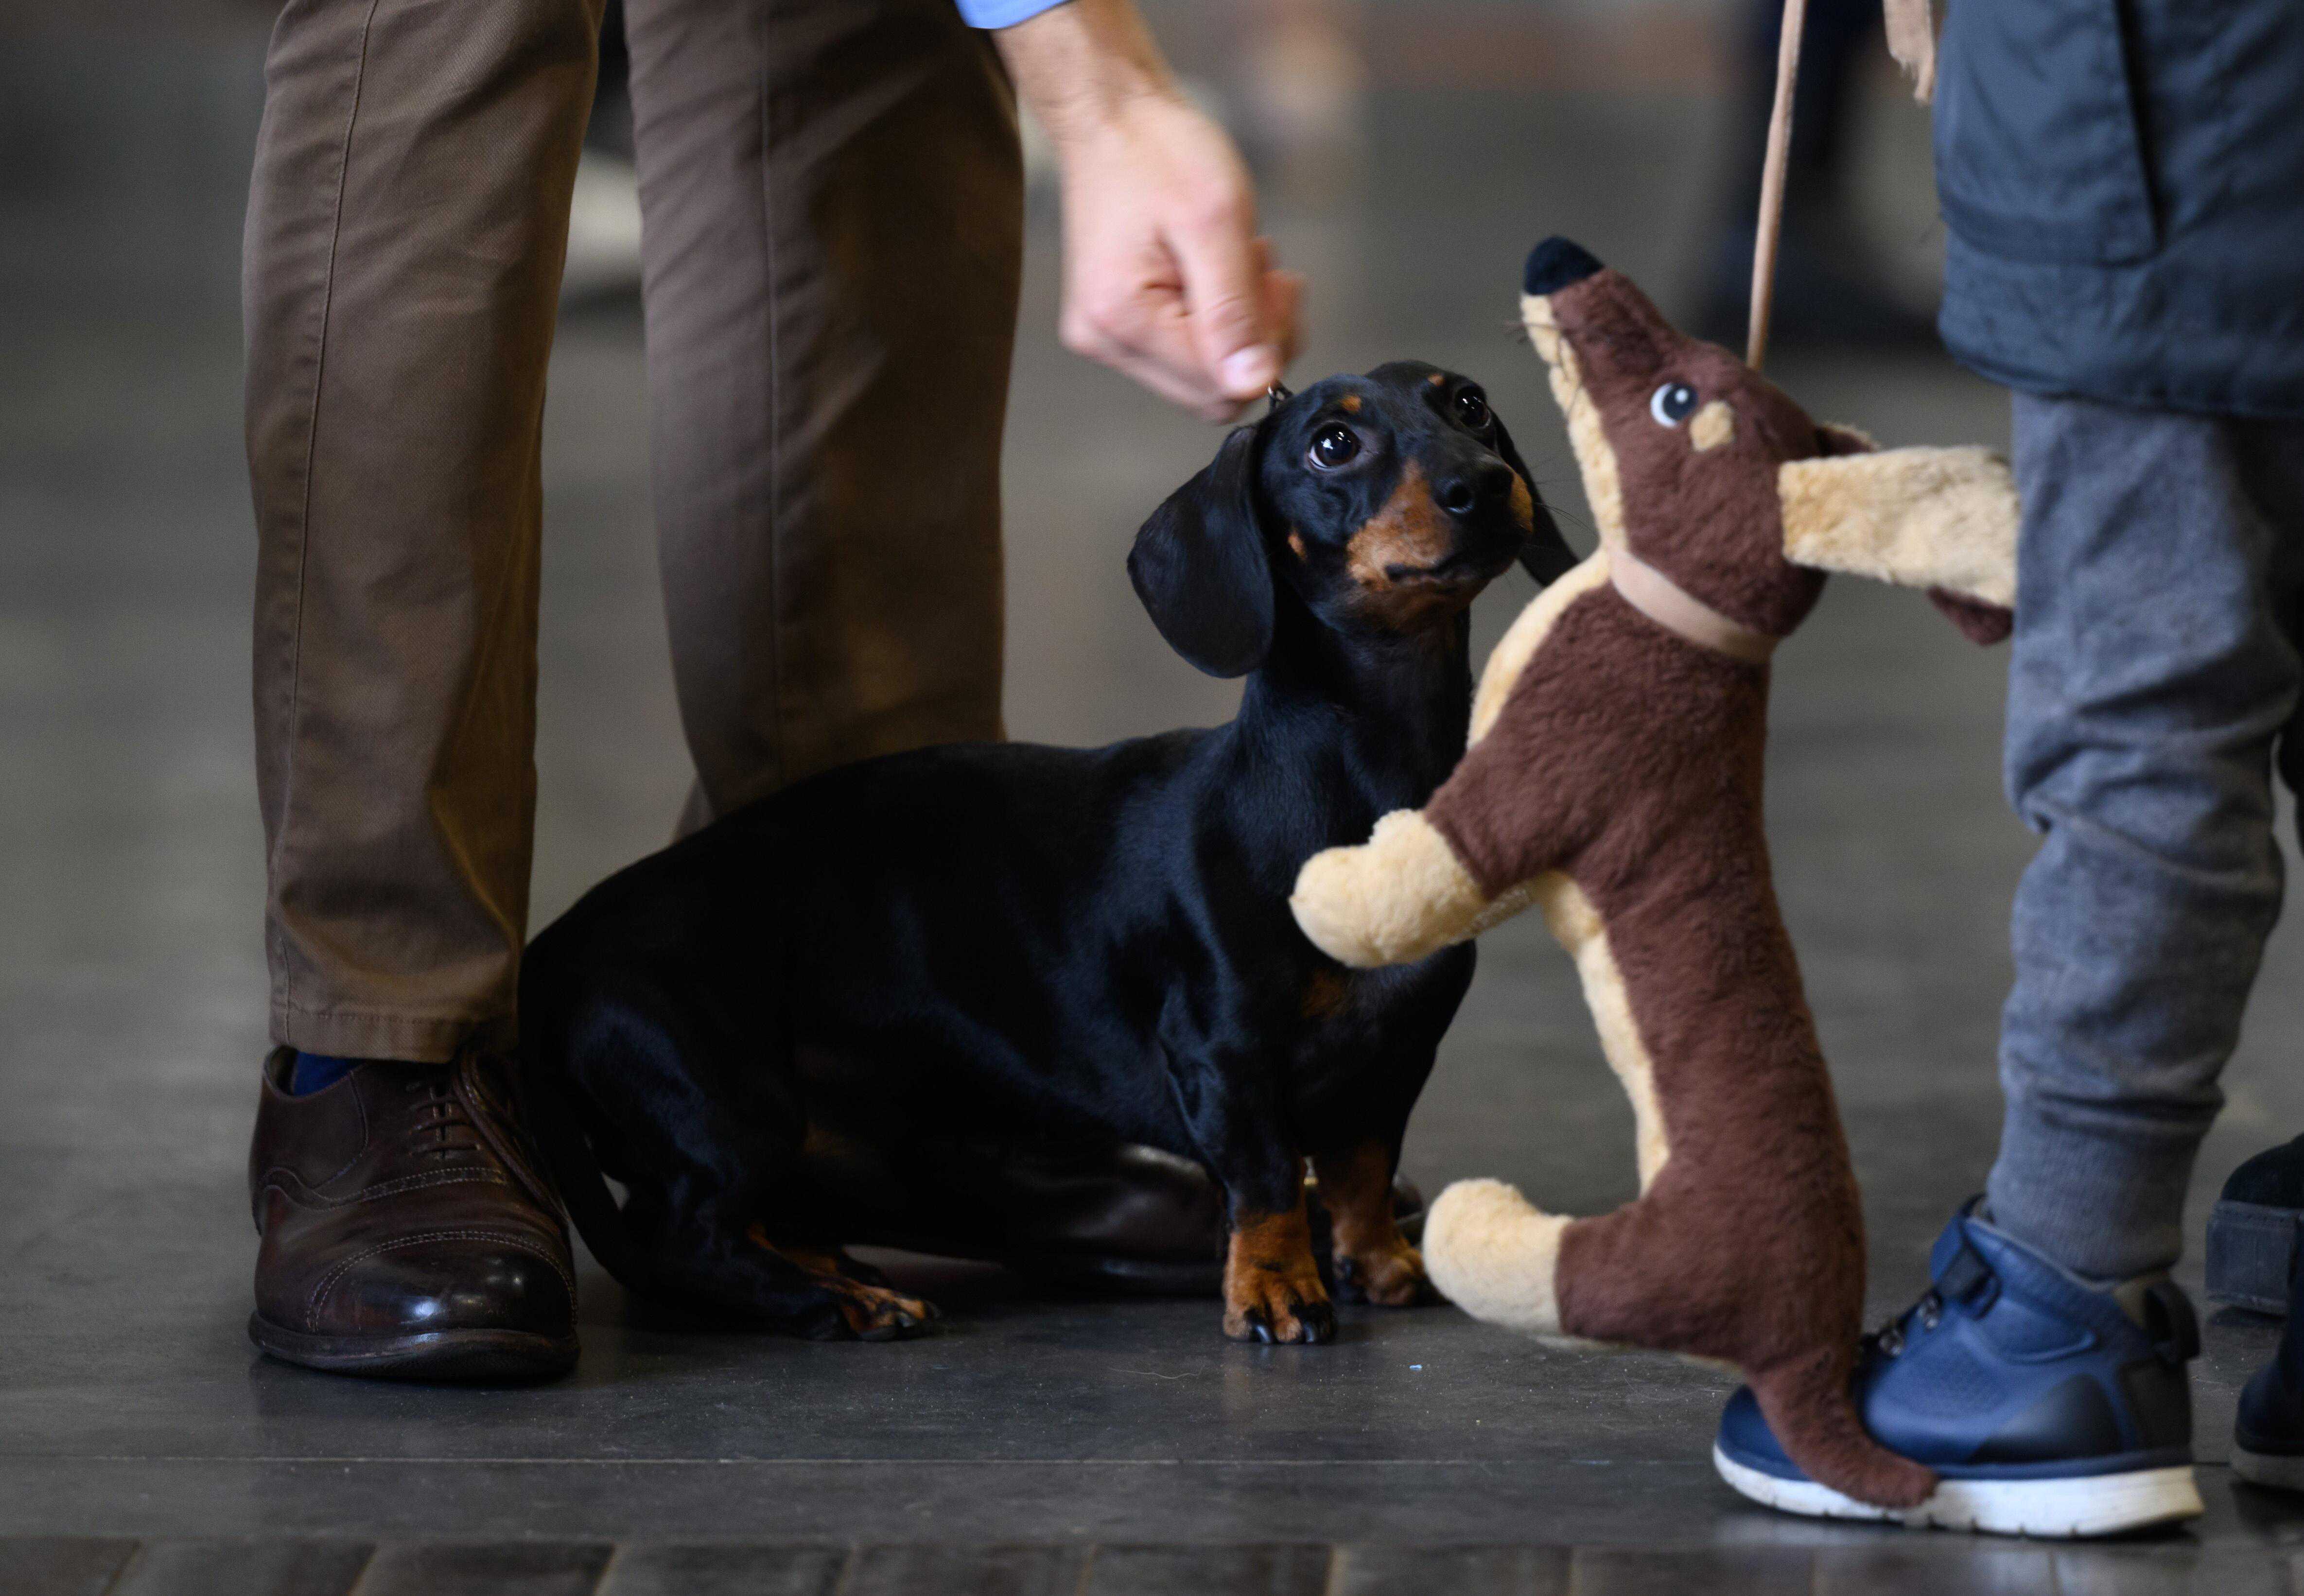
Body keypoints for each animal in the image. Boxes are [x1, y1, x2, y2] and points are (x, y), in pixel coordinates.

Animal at [520, 361, 1575, 1345]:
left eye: (1470, 404)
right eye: (1331, 445)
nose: (1484, 484)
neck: (1349, 787)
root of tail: (554, 948)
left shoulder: (1395, 1054)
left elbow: (1360, 1168)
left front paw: (1381, 1263)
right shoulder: (1224, 1052)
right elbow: (1273, 1176)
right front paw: (1277, 1289)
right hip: (723, 1094)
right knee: (684, 1234)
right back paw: (836, 1300)